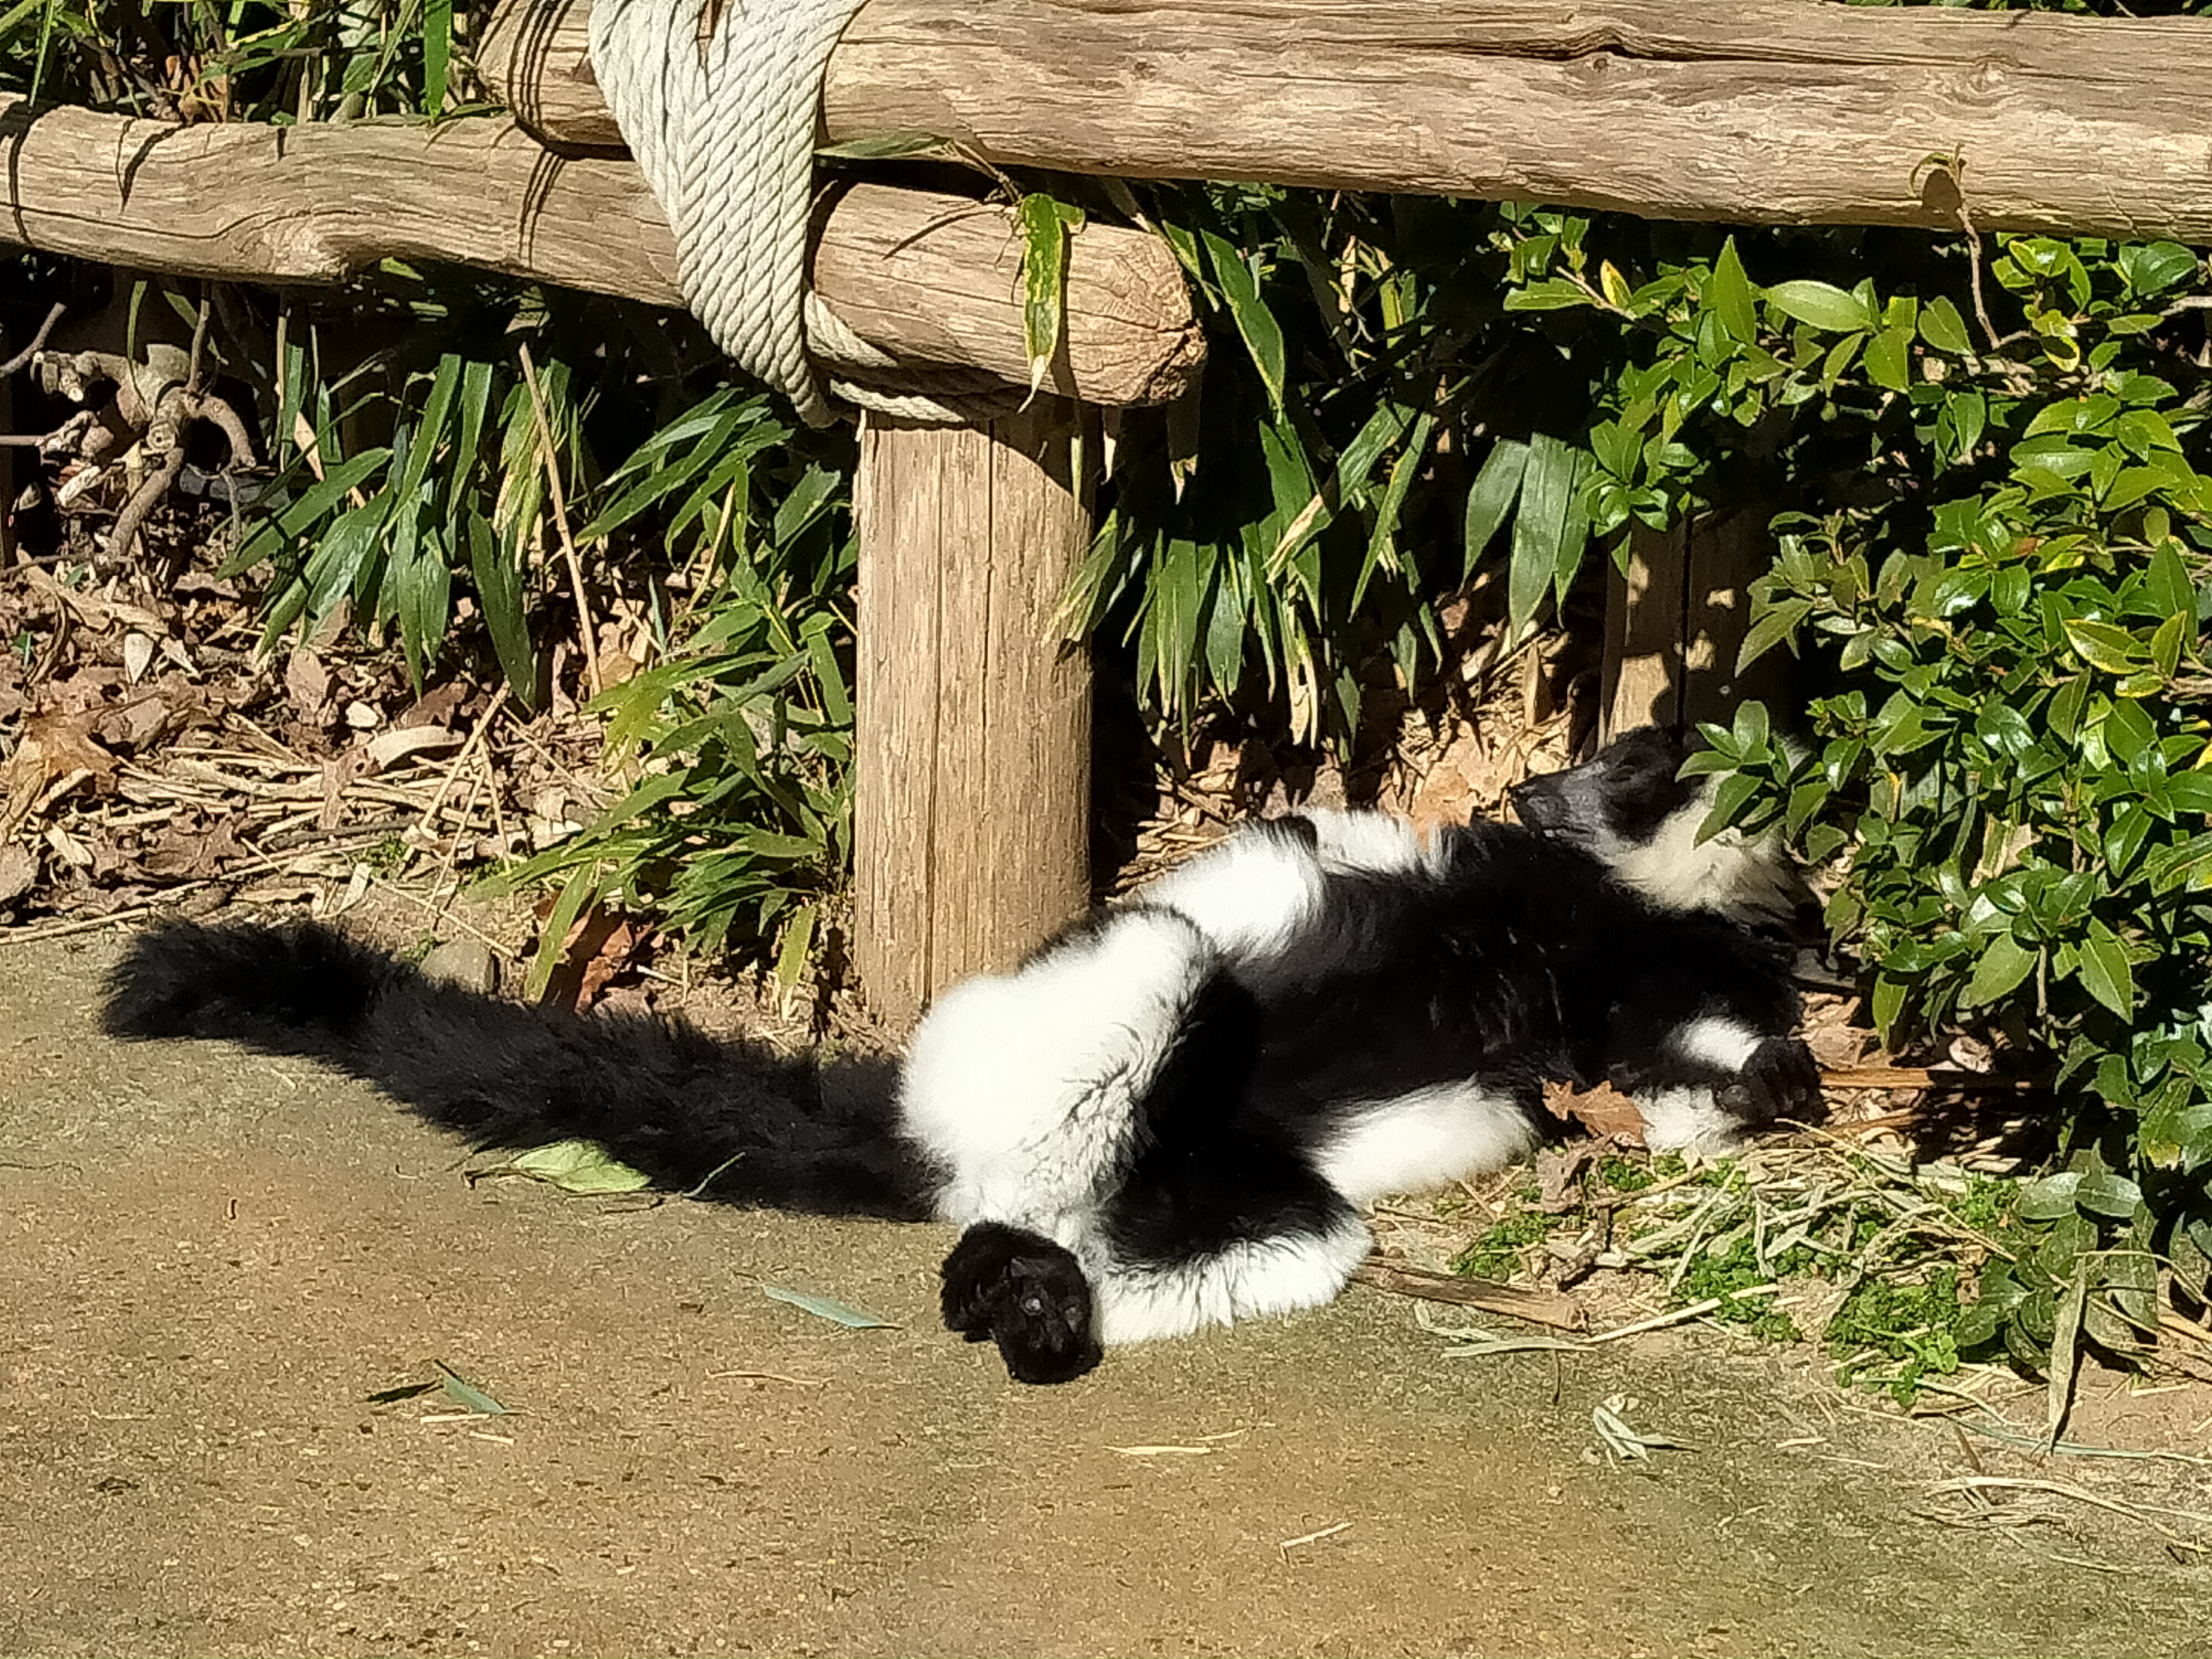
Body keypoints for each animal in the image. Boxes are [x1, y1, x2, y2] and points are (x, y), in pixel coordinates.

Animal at [98, 727, 1820, 1385]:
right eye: (1642, 758)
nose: (1548, 778)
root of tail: (931, 1116)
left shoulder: (1618, 995)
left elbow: (1659, 1073)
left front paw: (1767, 1080)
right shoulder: (1531, 900)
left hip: (1219, 1180)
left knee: (1256, 1232)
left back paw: (1028, 1300)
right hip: (1058, 1028)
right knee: (1173, 980)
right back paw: (1011, 1275)